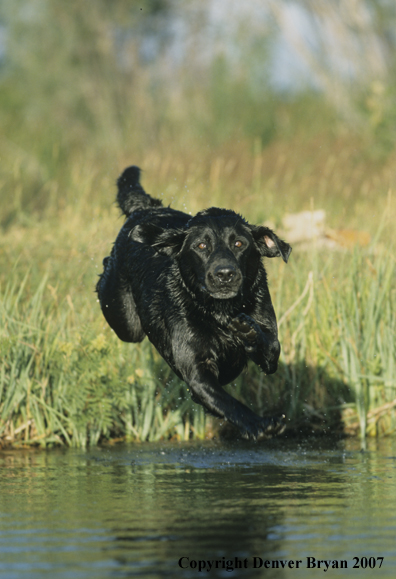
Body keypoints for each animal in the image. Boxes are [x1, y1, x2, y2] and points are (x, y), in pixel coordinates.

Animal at [96, 165, 290, 442]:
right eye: (201, 245)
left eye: (239, 244)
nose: (224, 274)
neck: (219, 313)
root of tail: (146, 208)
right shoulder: (197, 371)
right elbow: (229, 403)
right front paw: (258, 424)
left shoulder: (266, 334)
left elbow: (272, 347)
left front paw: (248, 332)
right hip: (125, 321)